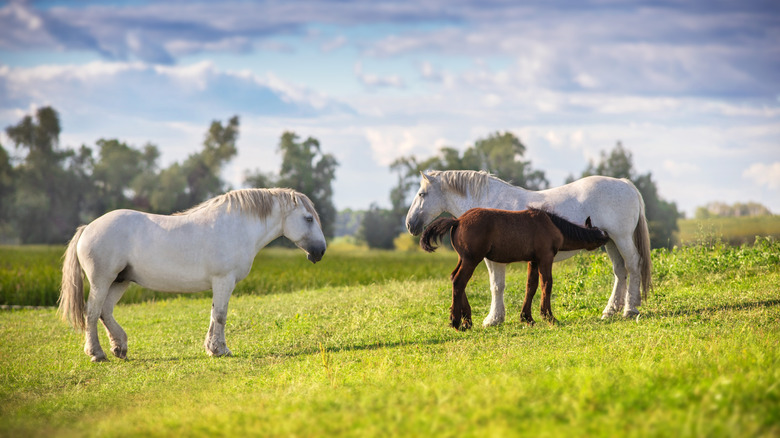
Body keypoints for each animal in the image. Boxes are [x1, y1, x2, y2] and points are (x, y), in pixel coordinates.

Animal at [59, 188, 327, 362]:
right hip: (102, 281)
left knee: (105, 312)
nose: (321, 251)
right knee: (92, 313)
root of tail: (88, 228)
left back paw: (120, 348)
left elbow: (213, 315)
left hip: (119, 281)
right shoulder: (223, 280)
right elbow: (220, 316)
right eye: (308, 218)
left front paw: (211, 348)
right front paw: (221, 350)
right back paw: (97, 353)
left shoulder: (220, 284)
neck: (237, 226)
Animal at [420, 208, 610, 329]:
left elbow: (531, 286)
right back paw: (456, 321)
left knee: (455, 279)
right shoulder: (545, 258)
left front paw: (527, 318)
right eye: (599, 235)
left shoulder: (533, 261)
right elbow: (546, 284)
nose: (608, 238)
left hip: (465, 259)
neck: (550, 224)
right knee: (459, 282)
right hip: (471, 260)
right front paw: (549, 317)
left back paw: (467, 321)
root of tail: (458, 220)